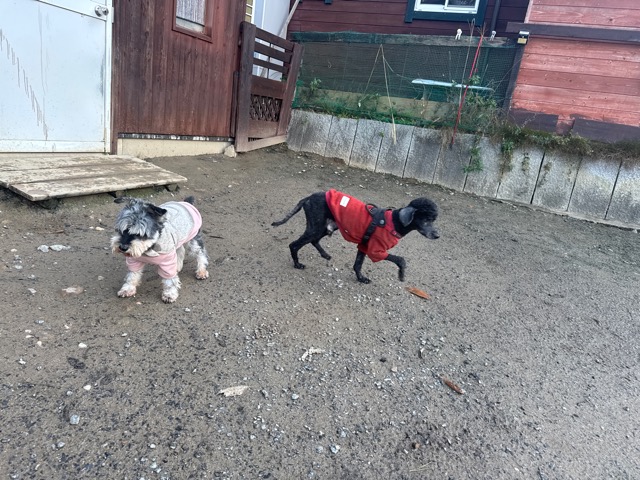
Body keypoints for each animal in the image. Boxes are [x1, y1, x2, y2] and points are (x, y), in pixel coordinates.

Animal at [271, 189, 439, 283]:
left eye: (434, 219)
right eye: (426, 220)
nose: (437, 235)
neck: (394, 222)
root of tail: (307, 198)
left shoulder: (363, 246)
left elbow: (357, 264)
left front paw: (361, 278)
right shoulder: (375, 250)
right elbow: (400, 259)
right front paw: (401, 274)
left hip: (326, 227)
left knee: (314, 240)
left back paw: (325, 254)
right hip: (316, 227)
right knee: (294, 244)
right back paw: (297, 264)